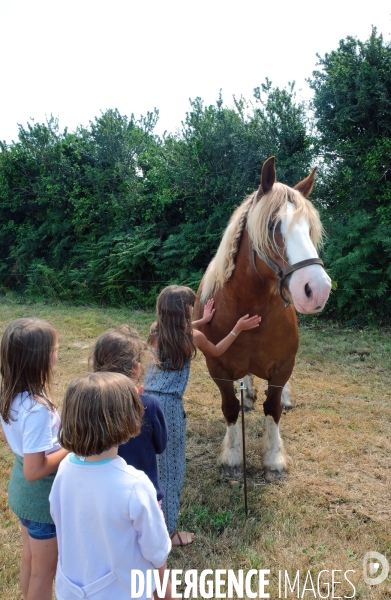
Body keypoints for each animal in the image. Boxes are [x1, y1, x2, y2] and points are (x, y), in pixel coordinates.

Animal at [194, 157, 332, 476]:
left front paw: (273, 457)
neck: (249, 306)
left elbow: (273, 408)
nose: (317, 289)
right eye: (272, 225)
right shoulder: (216, 366)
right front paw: (232, 455)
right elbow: (229, 406)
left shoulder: (282, 366)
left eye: (310, 228)